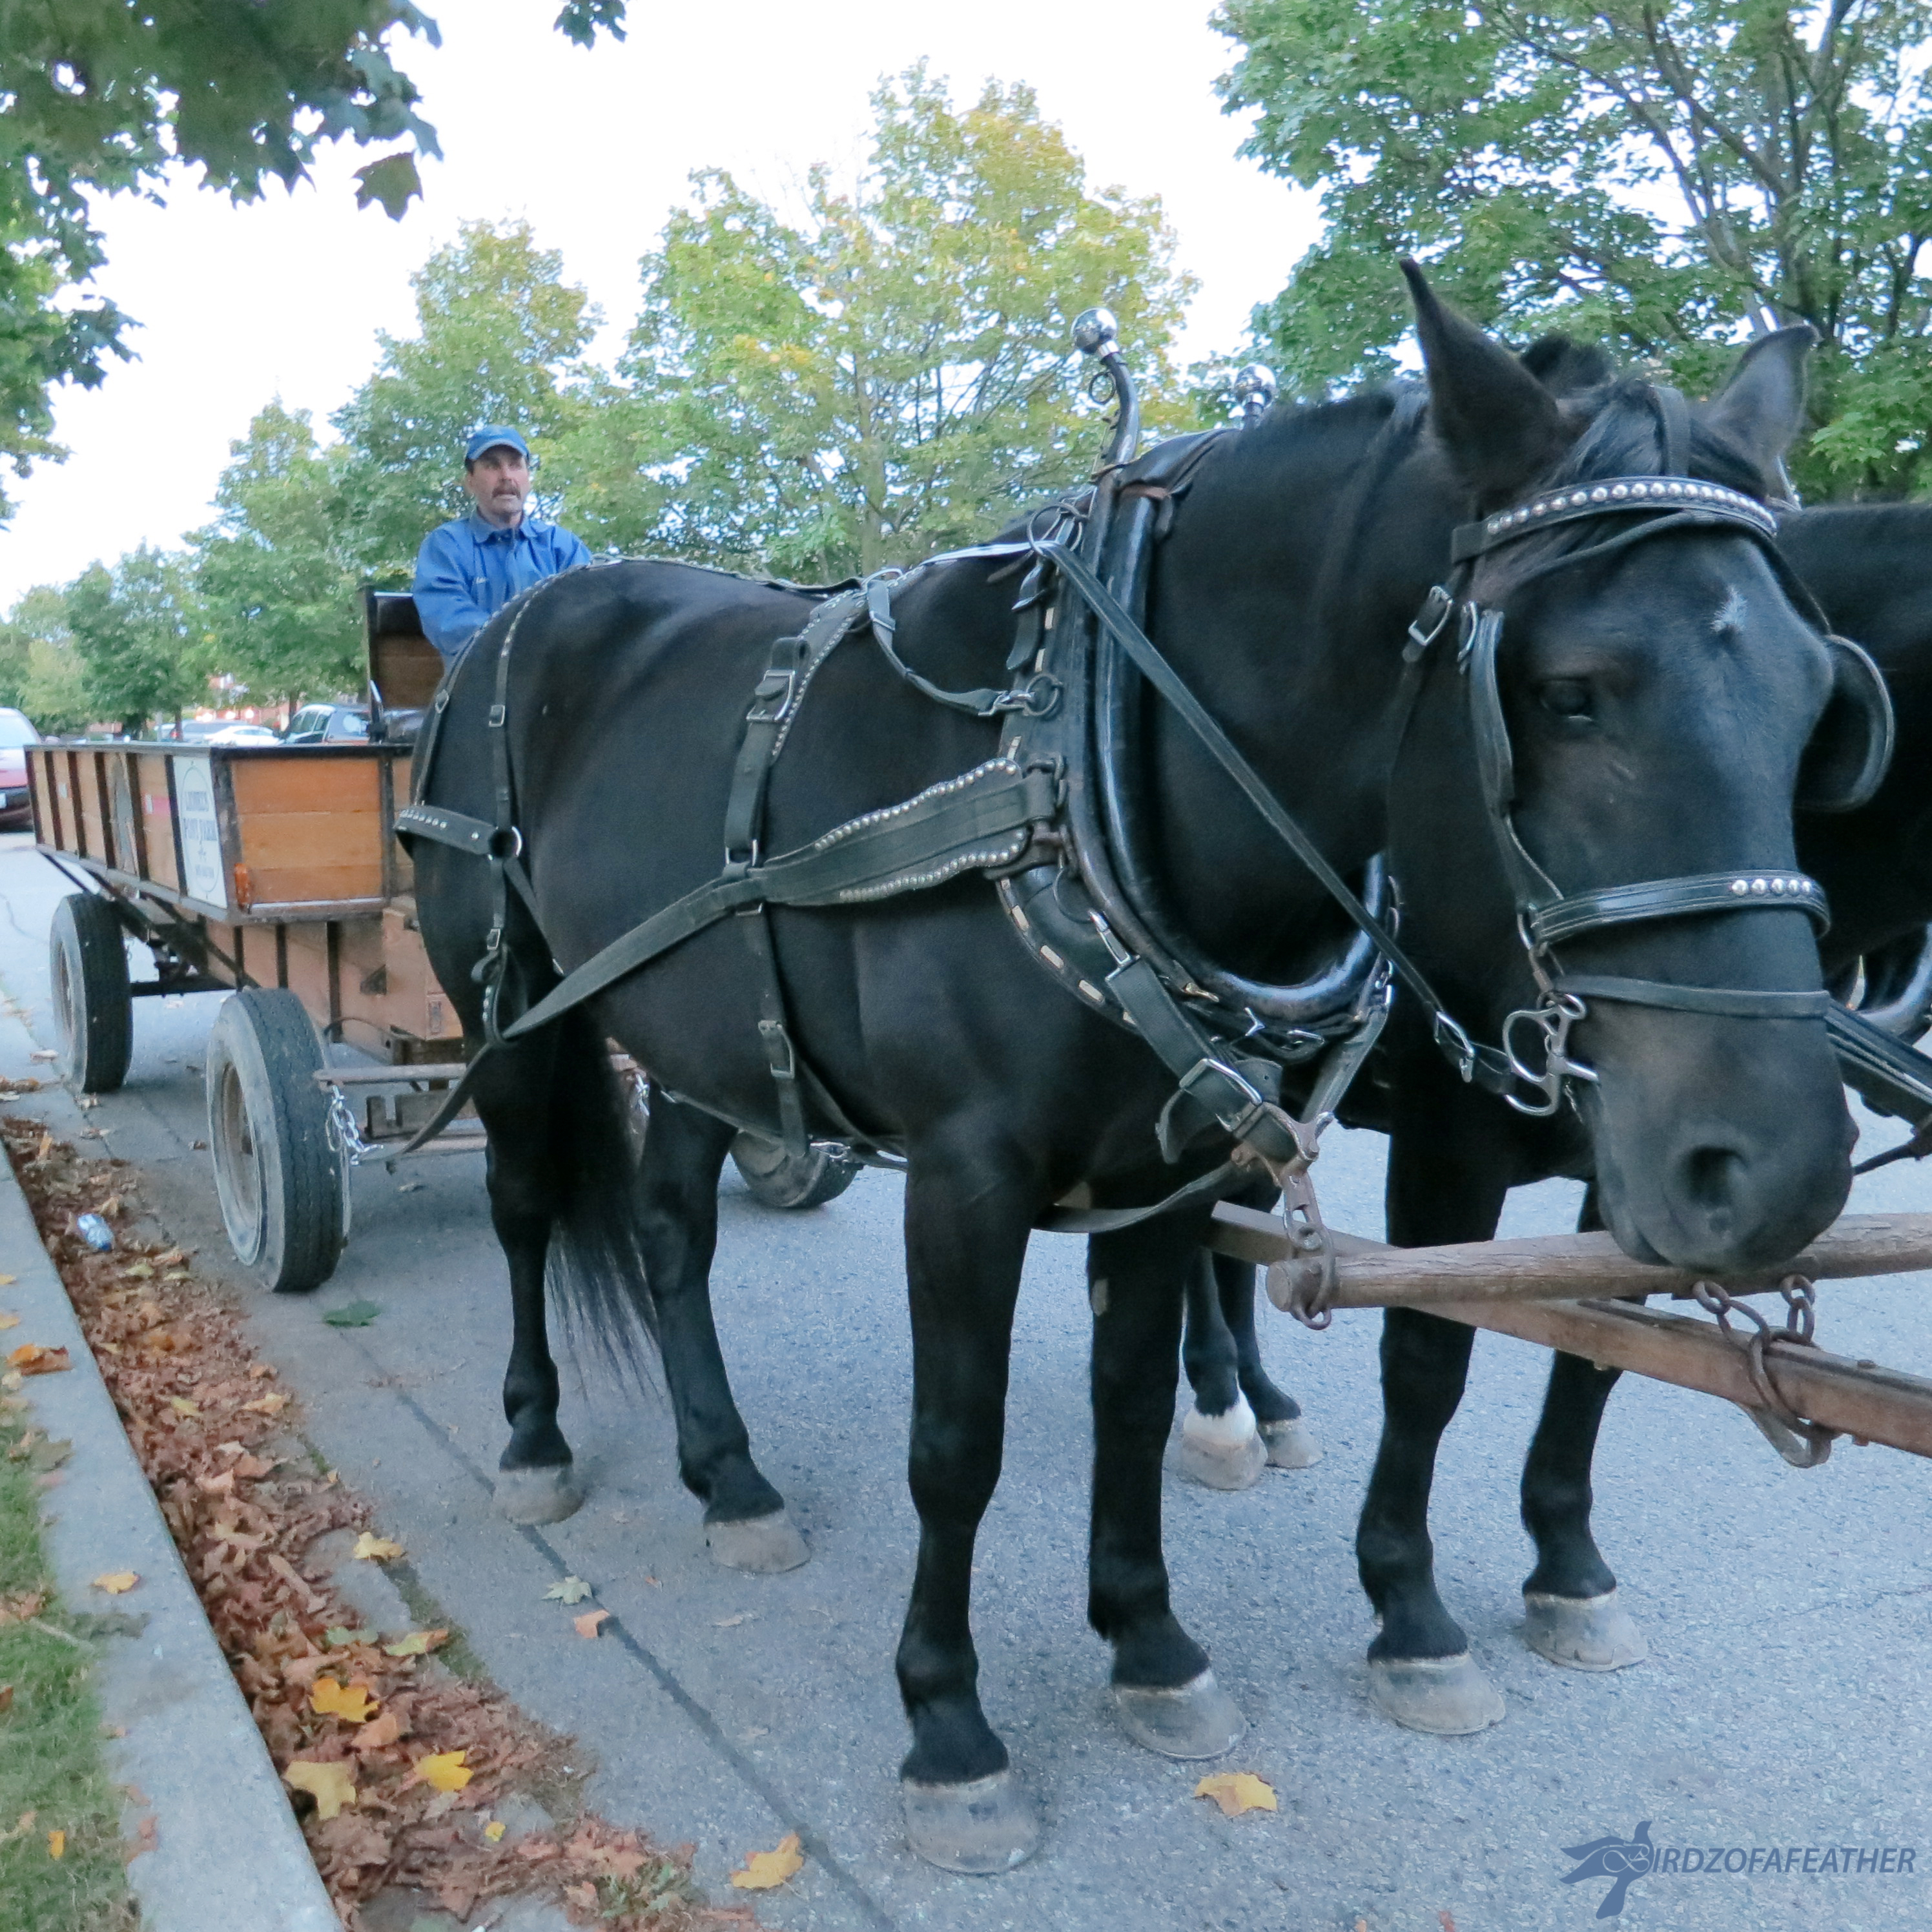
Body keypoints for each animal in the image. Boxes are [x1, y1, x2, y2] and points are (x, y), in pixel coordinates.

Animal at [407, 280, 1855, 1862]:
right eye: (1569, 692)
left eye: (1817, 704)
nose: (1777, 1162)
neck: (1073, 768)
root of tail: (524, 621)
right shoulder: (968, 1179)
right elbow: (955, 1443)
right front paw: (948, 1721)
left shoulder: (1164, 1167)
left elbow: (1138, 1398)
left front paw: (1150, 1643)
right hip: (513, 1010)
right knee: (528, 1204)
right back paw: (535, 1437)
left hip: (695, 1029)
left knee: (673, 1226)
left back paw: (728, 1474)